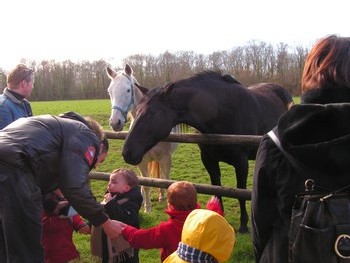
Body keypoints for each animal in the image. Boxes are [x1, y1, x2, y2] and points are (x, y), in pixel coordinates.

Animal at [106, 65, 178, 213]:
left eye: (128, 90)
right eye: (109, 92)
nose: (115, 123)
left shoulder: (166, 159)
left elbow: (165, 181)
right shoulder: (141, 161)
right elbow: (145, 184)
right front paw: (147, 207)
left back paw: (162, 196)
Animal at [122, 71, 292, 233]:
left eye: (151, 113)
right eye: (136, 112)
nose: (127, 152)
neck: (222, 113)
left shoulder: (241, 163)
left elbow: (240, 193)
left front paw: (243, 225)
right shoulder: (208, 160)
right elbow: (216, 189)